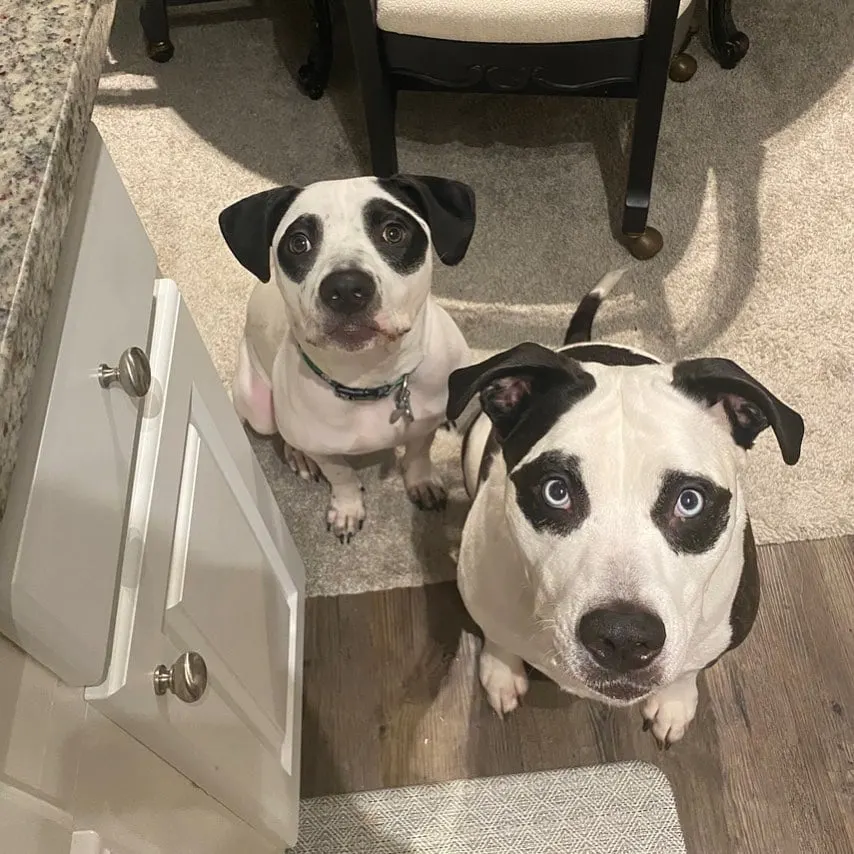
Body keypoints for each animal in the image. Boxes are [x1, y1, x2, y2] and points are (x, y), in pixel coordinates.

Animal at [219, 177, 474, 544]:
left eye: (393, 232)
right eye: (299, 243)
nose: (346, 288)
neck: (370, 379)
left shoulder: (423, 424)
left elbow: (418, 453)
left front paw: (422, 481)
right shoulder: (327, 452)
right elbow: (341, 476)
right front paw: (348, 509)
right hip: (257, 407)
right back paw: (298, 455)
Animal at [452, 272, 804, 748]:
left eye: (689, 500)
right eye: (556, 491)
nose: (622, 637)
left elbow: (690, 667)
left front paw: (675, 702)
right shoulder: (481, 591)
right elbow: (495, 633)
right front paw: (501, 671)